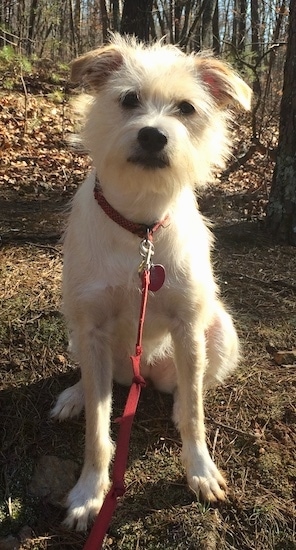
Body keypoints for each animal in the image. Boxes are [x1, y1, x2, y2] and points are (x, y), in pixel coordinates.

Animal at [51, 35, 252, 536]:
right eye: (128, 99)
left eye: (186, 107)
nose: (152, 135)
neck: (139, 223)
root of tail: (141, 374)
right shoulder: (93, 327)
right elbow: (98, 432)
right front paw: (89, 493)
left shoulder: (187, 324)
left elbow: (196, 415)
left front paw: (199, 471)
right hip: (78, 334)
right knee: (93, 379)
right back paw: (75, 395)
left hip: (218, 332)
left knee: (189, 387)